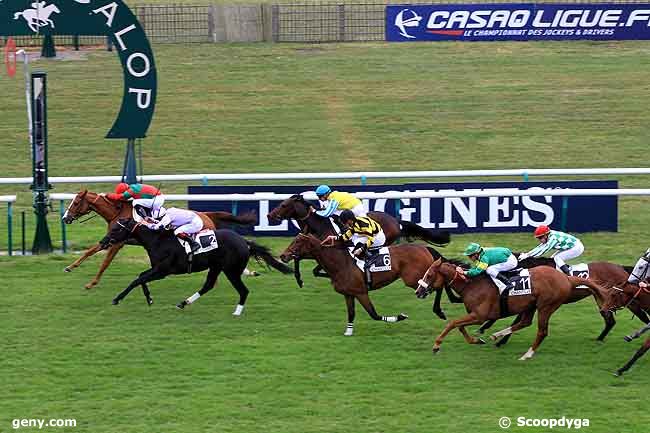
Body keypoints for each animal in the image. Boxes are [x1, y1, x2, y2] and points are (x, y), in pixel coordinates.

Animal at [61, 188, 256, 286]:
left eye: (76, 202)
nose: (65, 218)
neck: (116, 212)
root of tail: (207, 215)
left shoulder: (118, 242)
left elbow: (105, 262)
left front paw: (92, 282)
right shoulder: (110, 239)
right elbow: (90, 251)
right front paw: (70, 267)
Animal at [102, 218, 292, 312]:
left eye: (116, 229)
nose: (103, 242)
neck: (158, 240)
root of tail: (244, 242)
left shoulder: (162, 271)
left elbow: (136, 280)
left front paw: (117, 298)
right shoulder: (157, 269)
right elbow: (140, 277)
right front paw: (149, 299)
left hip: (231, 270)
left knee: (243, 291)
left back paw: (237, 312)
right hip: (216, 267)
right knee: (208, 285)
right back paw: (183, 303)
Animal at [278, 231, 440, 336]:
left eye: (298, 242)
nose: (283, 255)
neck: (341, 263)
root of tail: (425, 248)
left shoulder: (361, 292)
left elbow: (374, 314)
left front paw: (400, 316)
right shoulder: (348, 294)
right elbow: (351, 313)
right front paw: (348, 331)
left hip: (416, 279)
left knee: (435, 286)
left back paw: (439, 310)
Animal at [412, 258, 604, 360]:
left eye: (429, 275)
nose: (418, 291)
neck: (472, 285)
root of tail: (567, 279)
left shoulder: (480, 316)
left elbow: (453, 323)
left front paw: (436, 345)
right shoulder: (475, 315)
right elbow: (460, 326)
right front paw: (477, 340)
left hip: (546, 306)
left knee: (542, 331)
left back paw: (527, 354)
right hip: (531, 305)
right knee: (524, 322)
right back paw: (498, 336)